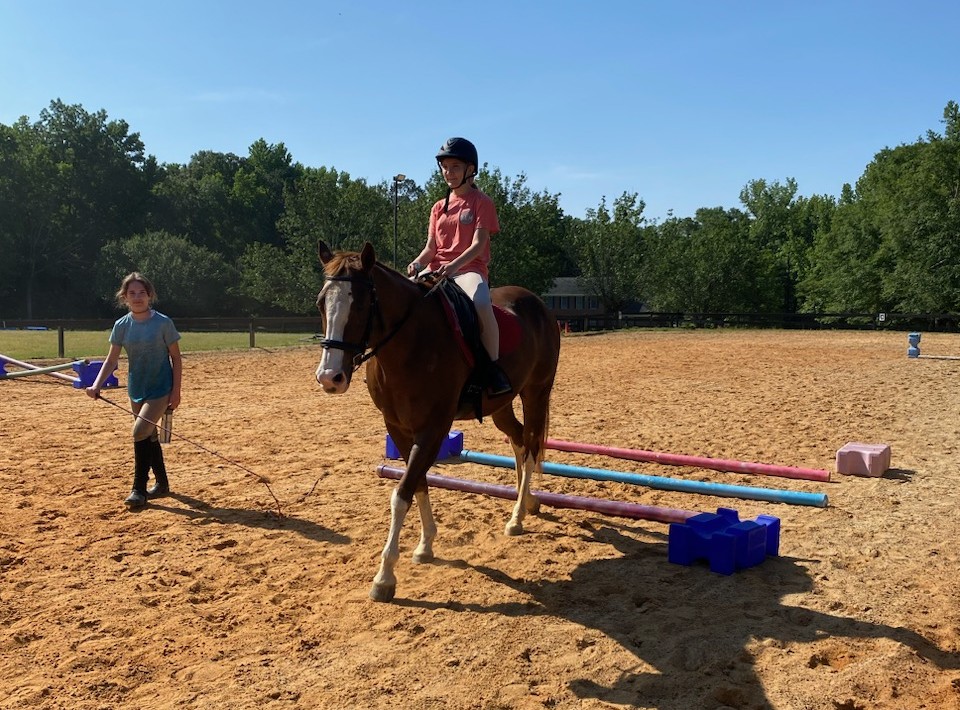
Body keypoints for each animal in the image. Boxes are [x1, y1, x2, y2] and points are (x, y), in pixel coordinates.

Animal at [314, 242, 564, 604]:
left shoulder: (433, 428)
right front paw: (425, 545)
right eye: (321, 302)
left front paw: (385, 577)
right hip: (501, 404)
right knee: (518, 441)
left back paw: (517, 517)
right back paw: (527, 500)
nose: (329, 377)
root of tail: (536, 302)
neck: (410, 345)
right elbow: (417, 482)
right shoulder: (397, 427)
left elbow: (402, 493)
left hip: (536, 392)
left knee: (530, 447)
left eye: (360, 303)